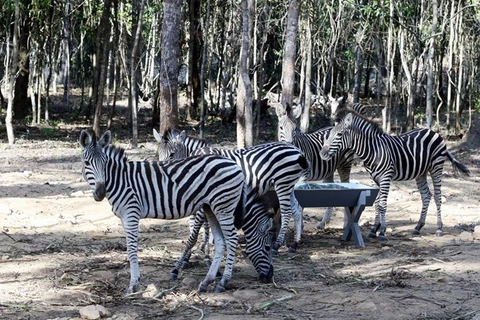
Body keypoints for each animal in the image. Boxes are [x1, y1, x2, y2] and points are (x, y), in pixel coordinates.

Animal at [79, 129, 251, 294]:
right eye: (87, 163)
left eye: (105, 163)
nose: (100, 193)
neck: (120, 180)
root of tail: (234, 165)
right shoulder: (123, 217)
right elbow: (130, 247)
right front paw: (136, 281)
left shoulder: (131, 213)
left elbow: (132, 249)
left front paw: (133, 285)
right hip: (211, 208)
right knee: (221, 242)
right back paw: (206, 282)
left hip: (224, 207)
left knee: (232, 240)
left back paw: (223, 282)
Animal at [156, 129, 310, 254]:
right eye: (158, 154)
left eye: (172, 154)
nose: (161, 171)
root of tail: (297, 151)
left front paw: (206, 244)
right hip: (288, 185)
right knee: (297, 209)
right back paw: (294, 244)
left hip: (282, 184)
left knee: (286, 212)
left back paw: (277, 245)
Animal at [320, 109, 470, 240]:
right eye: (330, 134)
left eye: (339, 135)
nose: (322, 154)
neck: (373, 151)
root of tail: (432, 131)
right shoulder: (374, 179)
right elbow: (377, 203)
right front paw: (374, 229)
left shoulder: (386, 177)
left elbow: (382, 204)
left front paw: (382, 232)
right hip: (421, 172)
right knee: (426, 195)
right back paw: (418, 227)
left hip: (436, 168)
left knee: (438, 197)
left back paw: (439, 228)